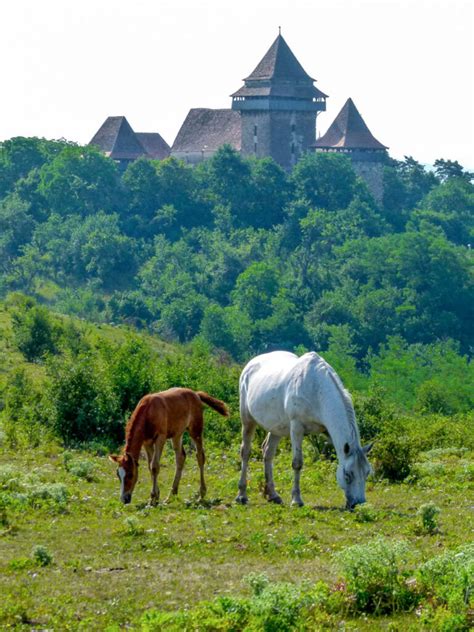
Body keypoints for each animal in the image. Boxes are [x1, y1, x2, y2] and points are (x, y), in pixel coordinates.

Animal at [235, 350, 372, 508]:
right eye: (348, 475)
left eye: (367, 473)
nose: (359, 503)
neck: (316, 389)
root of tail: (250, 365)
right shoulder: (296, 427)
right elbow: (297, 463)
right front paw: (296, 500)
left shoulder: (327, 431)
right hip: (247, 420)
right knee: (245, 452)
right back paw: (241, 495)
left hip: (277, 428)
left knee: (268, 453)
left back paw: (273, 495)